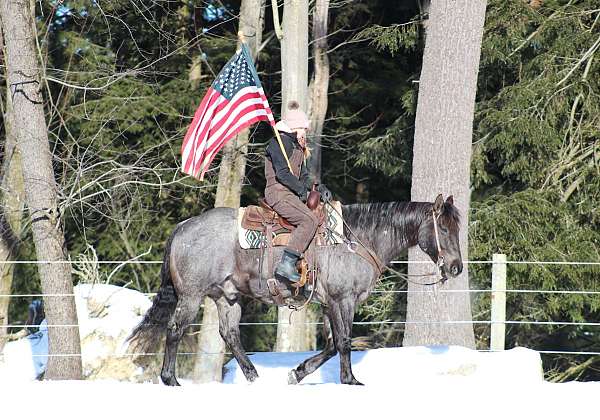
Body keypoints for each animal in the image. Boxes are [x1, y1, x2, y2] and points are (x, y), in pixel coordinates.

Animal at [129, 194, 462, 384]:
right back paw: (170, 380)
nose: (456, 267)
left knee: (230, 334)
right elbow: (344, 342)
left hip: (227, 296)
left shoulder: (328, 303)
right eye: (444, 228)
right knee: (175, 330)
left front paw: (298, 373)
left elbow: (331, 344)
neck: (357, 239)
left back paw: (254, 376)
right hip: (191, 295)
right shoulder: (343, 300)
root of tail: (183, 226)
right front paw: (351, 381)